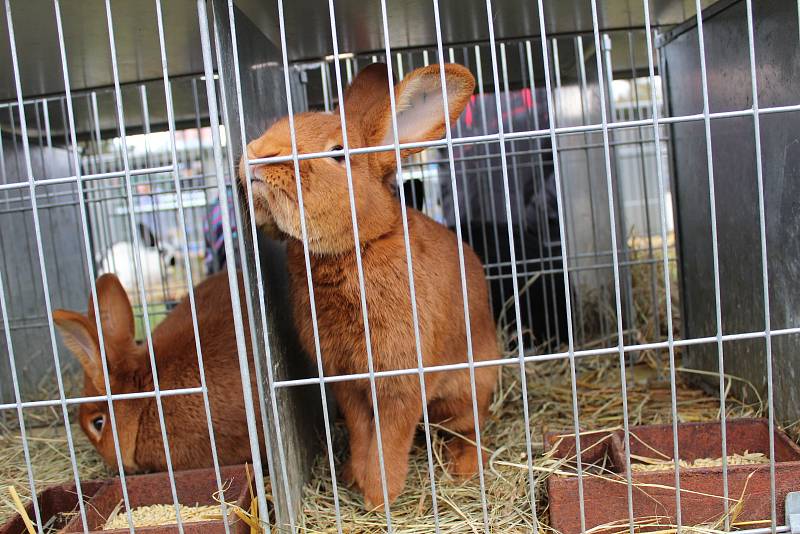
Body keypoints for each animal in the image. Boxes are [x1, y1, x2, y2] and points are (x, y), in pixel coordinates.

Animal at [241, 62, 496, 510]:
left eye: (337, 152)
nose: (257, 154)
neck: (357, 248)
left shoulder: (400, 379)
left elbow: (389, 441)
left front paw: (380, 498)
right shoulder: (346, 382)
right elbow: (364, 435)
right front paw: (354, 478)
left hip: (465, 392)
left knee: (471, 427)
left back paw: (465, 467)